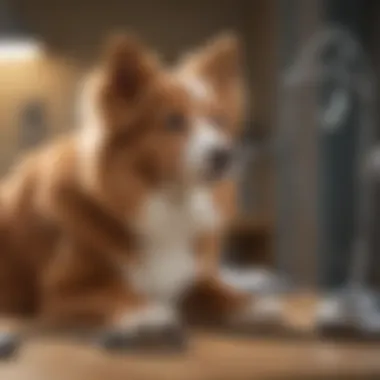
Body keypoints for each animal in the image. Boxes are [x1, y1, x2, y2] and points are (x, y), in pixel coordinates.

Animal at [0, 32, 278, 348]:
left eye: (218, 121)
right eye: (173, 121)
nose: (225, 155)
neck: (169, 202)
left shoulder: (191, 277)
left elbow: (217, 291)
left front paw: (250, 304)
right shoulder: (64, 291)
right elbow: (117, 293)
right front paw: (147, 313)